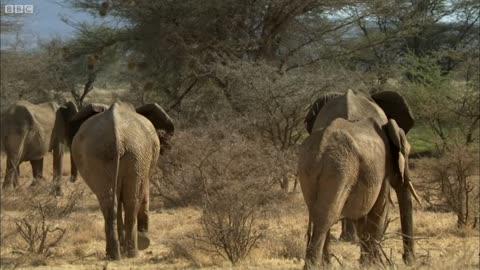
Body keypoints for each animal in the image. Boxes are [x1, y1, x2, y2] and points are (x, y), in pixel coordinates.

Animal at [66, 101, 173, 260]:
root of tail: (116, 136)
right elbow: (144, 192)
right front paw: (144, 241)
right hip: (136, 155)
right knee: (131, 199)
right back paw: (132, 253)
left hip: (105, 154)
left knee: (110, 202)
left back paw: (114, 254)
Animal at [298, 89, 422, 268]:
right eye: (405, 154)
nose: (408, 261)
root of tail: (321, 148)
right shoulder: (382, 169)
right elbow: (378, 211)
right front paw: (373, 265)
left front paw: (367, 264)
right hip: (339, 170)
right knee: (326, 216)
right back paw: (317, 265)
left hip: (310, 168)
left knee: (316, 213)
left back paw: (324, 264)